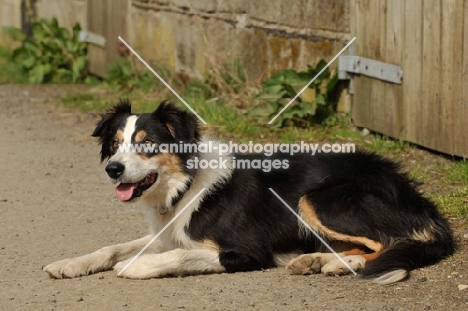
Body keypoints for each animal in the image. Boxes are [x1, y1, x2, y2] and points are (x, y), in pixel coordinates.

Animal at [43, 100, 454, 286]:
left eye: (147, 145)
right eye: (114, 145)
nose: (113, 169)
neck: (186, 185)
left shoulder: (245, 251)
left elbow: (177, 256)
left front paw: (135, 266)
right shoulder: (167, 232)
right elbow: (112, 247)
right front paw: (70, 263)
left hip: (318, 199)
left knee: (389, 243)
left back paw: (336, 263)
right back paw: (316, 260)